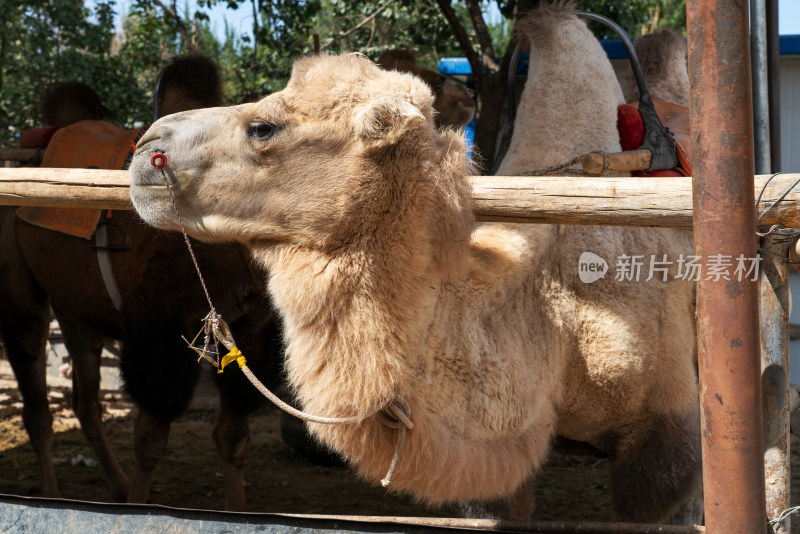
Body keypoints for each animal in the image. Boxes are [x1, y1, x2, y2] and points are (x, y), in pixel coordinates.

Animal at [0, 54, 282, 510]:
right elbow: (150, 439)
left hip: (76, 306)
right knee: (38, 404)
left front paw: (238, 510)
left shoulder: (252, 330)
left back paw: (111, 485)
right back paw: (51, 497)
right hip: (21, 296)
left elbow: (233, 437)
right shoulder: (160, 331)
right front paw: (137, 508)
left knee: (86, 400)